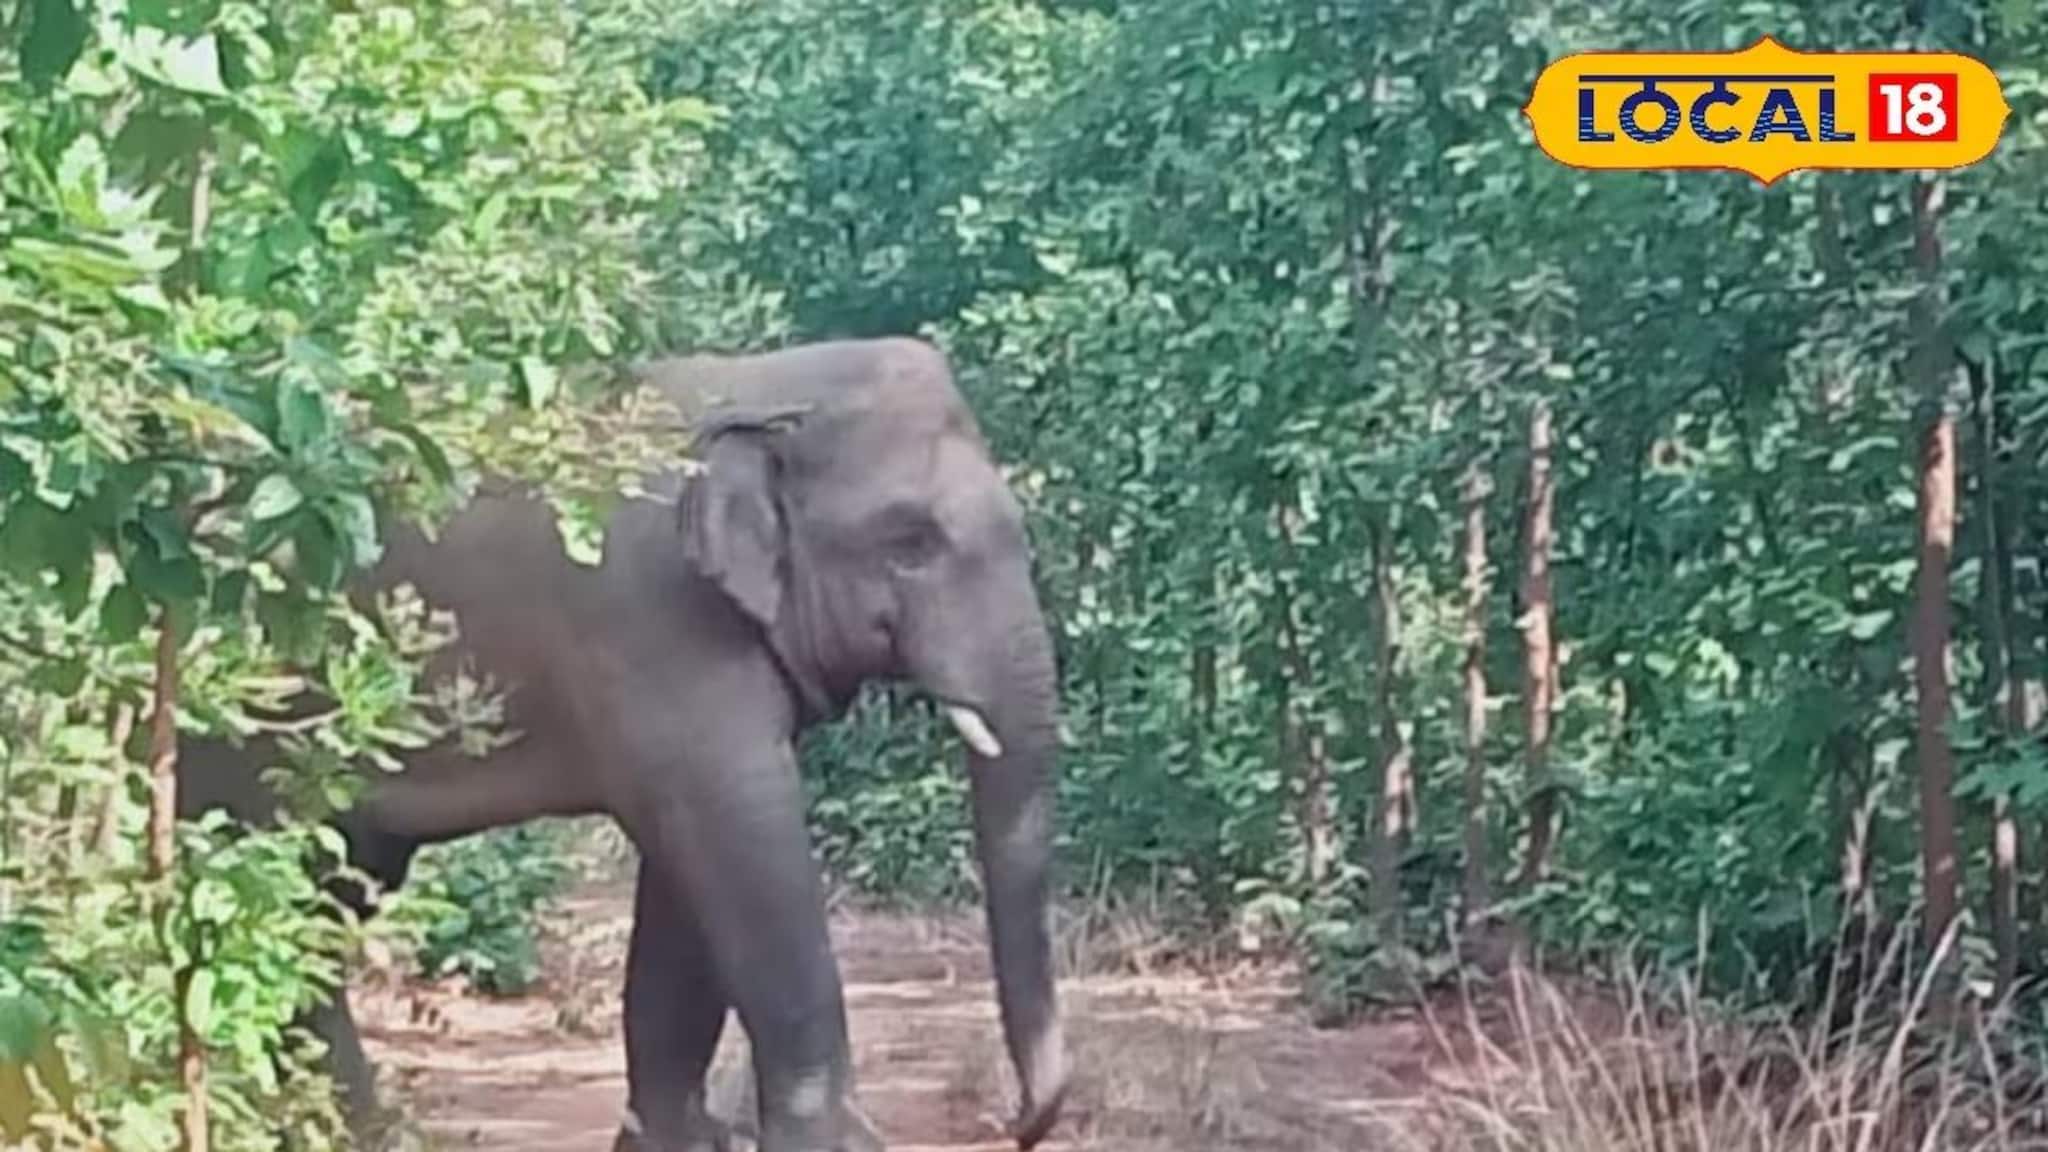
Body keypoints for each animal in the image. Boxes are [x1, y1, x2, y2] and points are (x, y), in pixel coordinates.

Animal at [175, 337, 1069, 1152]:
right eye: (910, 544)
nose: (1019, 1123)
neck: (767, 385)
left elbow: (689, 888)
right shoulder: (655, 622)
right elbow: (742, 844)